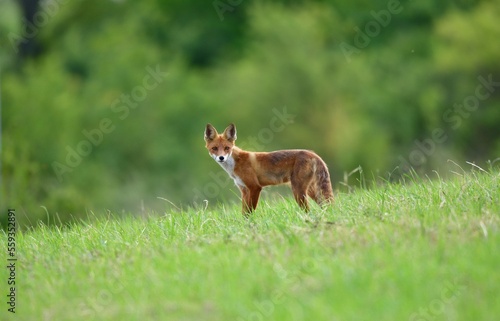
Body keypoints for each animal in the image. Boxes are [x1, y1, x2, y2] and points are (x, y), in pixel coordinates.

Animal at [205, 124, 334, 214]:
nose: (221, 158)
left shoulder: (255, 187)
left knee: (309, 210)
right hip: (311, 191)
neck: (235, 163)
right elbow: (244, 213)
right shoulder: (244, 190)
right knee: (326, 205)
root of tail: (313, 154)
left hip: (298, 190)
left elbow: (249, 212)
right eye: (214, 148)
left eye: (227, 148)